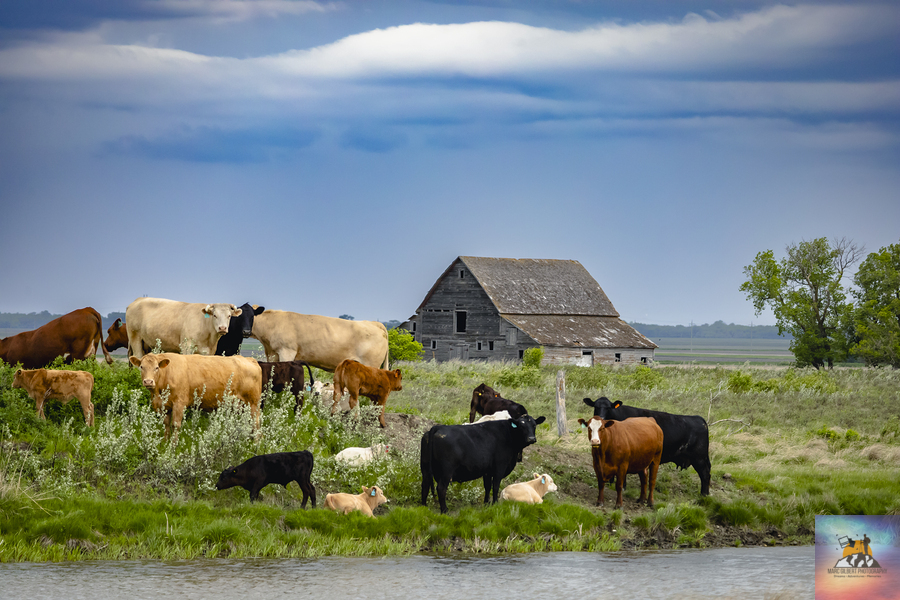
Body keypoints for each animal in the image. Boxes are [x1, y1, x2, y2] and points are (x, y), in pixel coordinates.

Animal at [129, 353, 262, 438]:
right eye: (141, 367)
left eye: (156, 368)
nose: (148, 381)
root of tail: (250, 359)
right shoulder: (163, 406)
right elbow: (166, 425)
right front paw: (165, 444)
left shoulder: (179, 403)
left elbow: (175, 425)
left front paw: (173, 447)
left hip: (253, 403)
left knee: (256, 424)